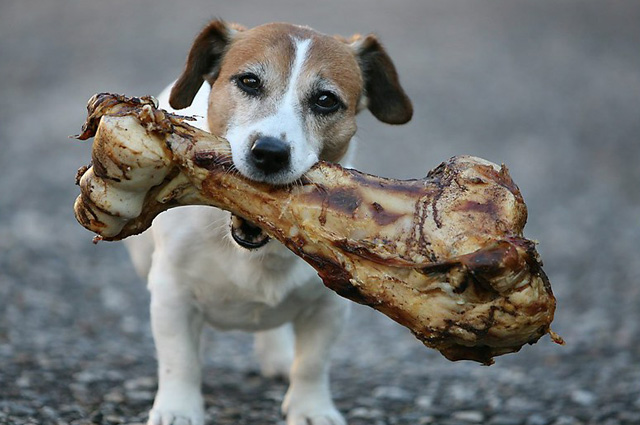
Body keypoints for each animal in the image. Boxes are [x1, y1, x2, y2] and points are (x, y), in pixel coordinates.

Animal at [127, 19, 412, 424]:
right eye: (249, 81)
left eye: (326, 100)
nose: (270, 153)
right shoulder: (171, 293)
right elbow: (179, 360)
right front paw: (178, 409)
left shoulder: (329, 307)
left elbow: (311, 364)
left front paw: (312, 409)